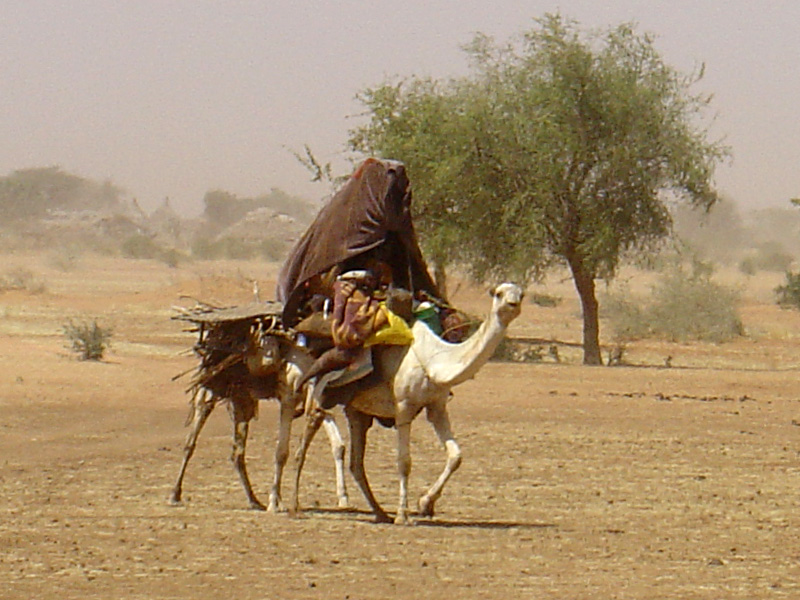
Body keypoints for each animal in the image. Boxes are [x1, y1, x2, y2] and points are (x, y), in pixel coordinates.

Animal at [169, 337, 349, 512]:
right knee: (191, 441)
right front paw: (274, 502)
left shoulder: (318, 402)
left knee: (237, 452)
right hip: (211, 389)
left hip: (241, 399)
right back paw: (174, 495)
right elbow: (282, 452)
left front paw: (343, 499)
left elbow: (338, 446)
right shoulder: (289, 395)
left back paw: (255, 501)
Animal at [293, 282, 524, 524]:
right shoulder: (404, 407)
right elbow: (404, 462)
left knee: (356, 462)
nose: (513, 304)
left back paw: (380, 512)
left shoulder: (437, 406)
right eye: (499, 294)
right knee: (306, 440)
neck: (433, 360)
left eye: (521, 294)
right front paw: (403, 514)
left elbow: (456, 456)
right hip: (319, 394)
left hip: (356, 409)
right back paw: (293, 505)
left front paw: (425, 504)